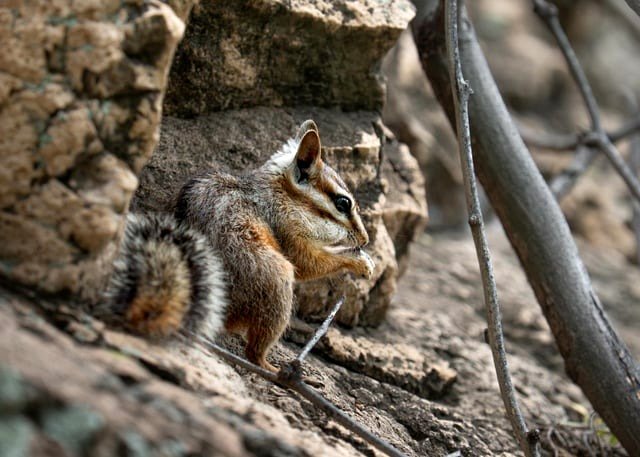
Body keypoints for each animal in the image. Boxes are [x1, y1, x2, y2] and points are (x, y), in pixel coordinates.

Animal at [104, 120, 375, 372]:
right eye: (342, 203)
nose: (365, 239)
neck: (280, 194)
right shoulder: (288, 231)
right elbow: (310, 263)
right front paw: (360, 262)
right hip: (278, 281)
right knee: (253, 352)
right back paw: (272, 369)